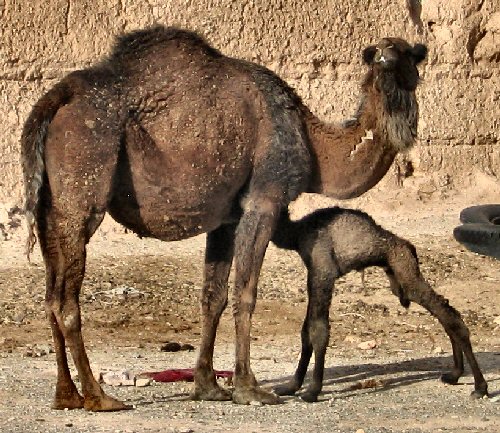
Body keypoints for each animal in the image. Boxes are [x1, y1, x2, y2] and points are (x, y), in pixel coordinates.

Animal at [272, 206, 486, 402]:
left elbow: (318, 331)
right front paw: (290, 386)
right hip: (397, 278)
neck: (298, 231)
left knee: (447, 313)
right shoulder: (314, 274)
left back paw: (479, 387)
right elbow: (305, 331)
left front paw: (312, 391)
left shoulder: (323, 271)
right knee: (445, 311)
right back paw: (454, 374)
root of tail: (409, 247)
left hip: (405, 271)